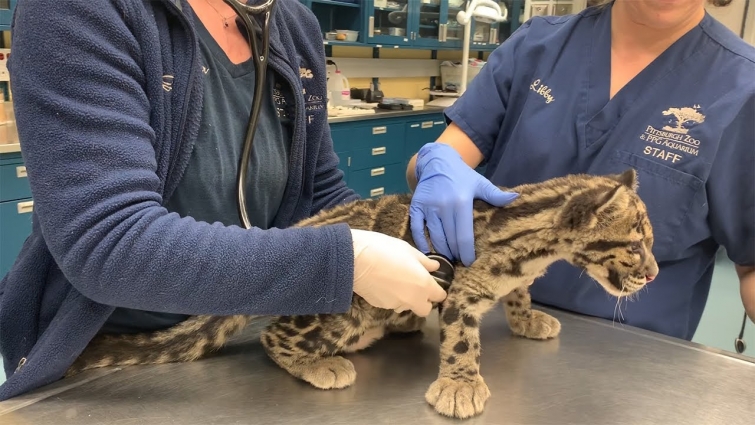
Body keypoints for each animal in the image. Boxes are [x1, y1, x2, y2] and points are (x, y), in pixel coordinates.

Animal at [64, 168, 658, 419]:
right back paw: (320, 362)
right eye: (635, 245)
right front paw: (461, 385)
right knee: (273, 336)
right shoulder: (460, 289)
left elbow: (519, 295)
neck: (538, 246)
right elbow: (462, 340)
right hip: (345, 310)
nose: (653, 274)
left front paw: (528, 318)